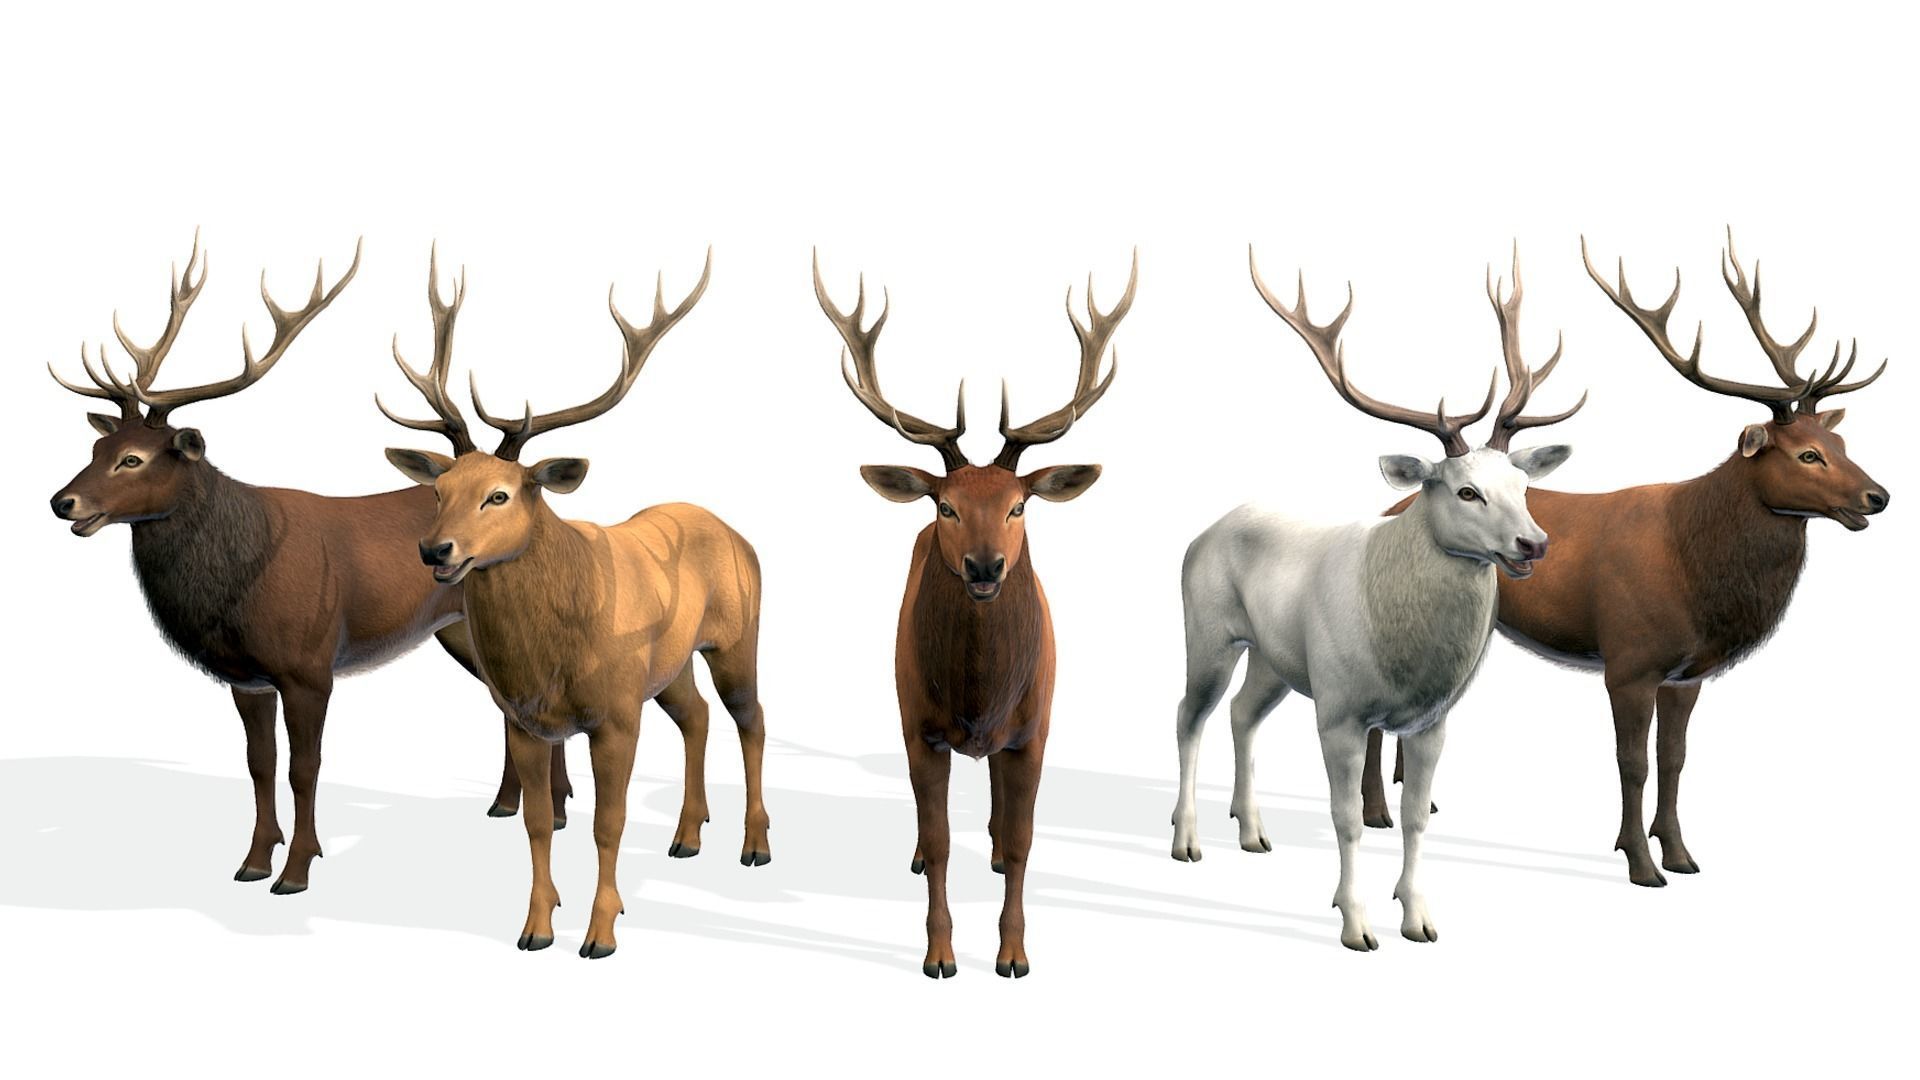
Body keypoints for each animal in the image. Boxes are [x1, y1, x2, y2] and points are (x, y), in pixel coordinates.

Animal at [45, 234, 568, 895]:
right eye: (96, 447)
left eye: (133, 459)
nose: (62, 502)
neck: (237, 586)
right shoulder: (246, 676)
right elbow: (259, 765)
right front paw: (252, 859)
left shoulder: (309, 664)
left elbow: (305, 768)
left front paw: (296, 869)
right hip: (459, 630)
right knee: (508, 705)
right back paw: (511, 802)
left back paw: (553, 806)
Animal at [384, 249, 771, 960]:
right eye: (439, 491)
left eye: (502, 494)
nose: (434, 549)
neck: (549, 661)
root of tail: (734, 531)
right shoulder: (523, 719)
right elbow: (538, 823)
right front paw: (535, 926)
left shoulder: (616, 713)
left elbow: (608, 823)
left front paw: (601, 932)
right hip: (669, 666)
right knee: (697, 715)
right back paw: (687, 836)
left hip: (738, 636)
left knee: (750, 717)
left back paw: (754, 845)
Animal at [815, 250, 1130, 979]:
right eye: (946, 505)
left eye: (1019, 504)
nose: (985, 567)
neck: (978, 698)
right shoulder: (918, 727)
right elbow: (938, 843)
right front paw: (940, 953)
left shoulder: (1036, 729)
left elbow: (1022, 843)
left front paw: (1013, 953)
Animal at [1171, 248, 1581, 951]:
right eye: (1465, 490)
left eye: (1523, 485)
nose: (1534, 544)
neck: (1405, 663)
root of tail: (1204, 533)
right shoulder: (1339, 709)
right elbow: (1348, 819)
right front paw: (1356, 923)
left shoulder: (1431, 721)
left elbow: (1416, 817)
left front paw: (1418, 917)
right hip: (1209, 632)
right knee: (1188, 715)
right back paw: (1187, 839)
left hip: (1276, 660)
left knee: (1244, 714)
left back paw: (1252, 832)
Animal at [1362, 232, 1890, 886]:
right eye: (1808, 454)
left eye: (1840, 441)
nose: (1878, 496)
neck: (1696, 575)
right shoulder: (1629, 658)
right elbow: (1632, 761)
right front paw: (1641, 861)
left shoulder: (1686, 674)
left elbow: (1675, 759)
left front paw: (1681, 853)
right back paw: (1377, 811)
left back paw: (1420, 794)